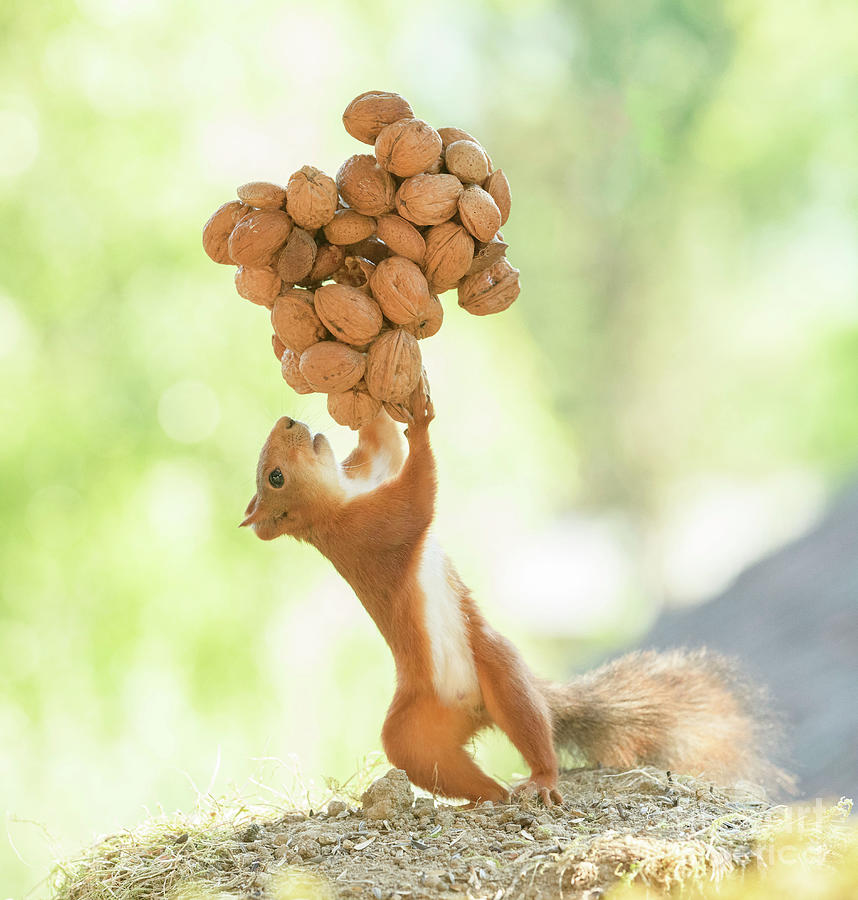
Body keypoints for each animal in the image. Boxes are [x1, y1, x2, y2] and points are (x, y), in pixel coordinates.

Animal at [241, 390, 784, 804]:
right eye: (275, 477)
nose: (288, 419)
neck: (338, 498)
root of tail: (470, 712)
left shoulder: (371, 470)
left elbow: (386, 446)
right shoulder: (374, 530)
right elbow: (418, 498)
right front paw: (420, 423)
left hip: (475, 686)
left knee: (462, 766)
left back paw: (492, 795)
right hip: (458, 695)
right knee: (478, 747)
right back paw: (531, 783)